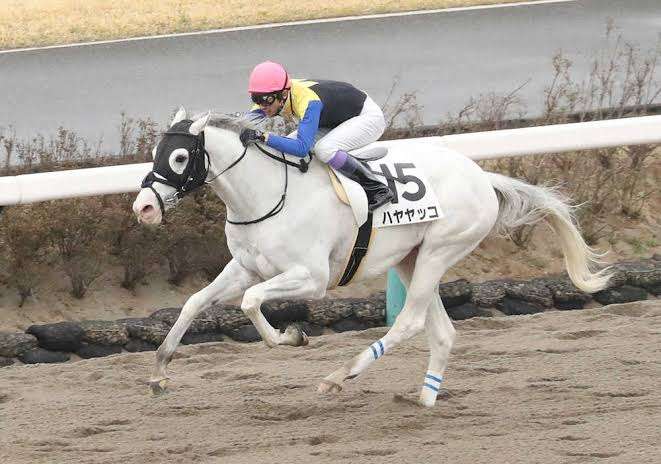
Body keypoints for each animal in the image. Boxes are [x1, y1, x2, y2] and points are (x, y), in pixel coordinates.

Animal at [132, 108, 611, 407]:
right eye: (155, 153)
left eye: (179, 156)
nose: (144, 207)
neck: (268, 195)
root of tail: (481, 176)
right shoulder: (246, 267)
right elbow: (195, 302)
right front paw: (158, 374)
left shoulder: (312, 278)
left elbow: (250, 303)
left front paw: (292, 337)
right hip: (411, 258)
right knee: (442, 332)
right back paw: (424, 399)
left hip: (440, 249)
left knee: (411, 322)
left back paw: (339, 376)